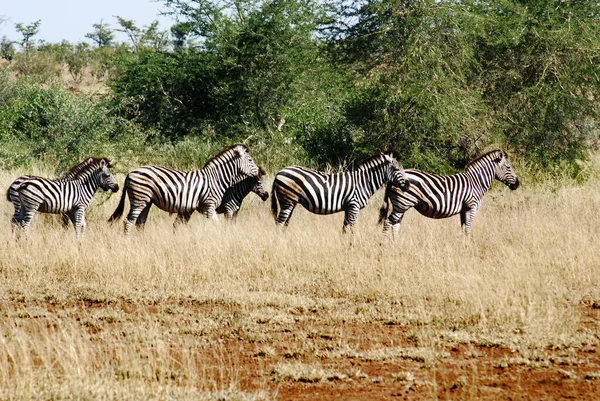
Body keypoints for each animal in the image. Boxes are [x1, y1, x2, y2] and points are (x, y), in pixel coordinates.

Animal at [108, 144, 260, 233]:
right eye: (250, 160)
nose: (259, 172)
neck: (216, 178)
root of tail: (130, 173)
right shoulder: (209, 205)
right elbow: (216, 225)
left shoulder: (200, 208)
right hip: (139, 199)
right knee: (128, 221)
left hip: (147, 201)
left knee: (140, 223)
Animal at [270, 152, 408, 231]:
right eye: (397, 169)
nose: (407, 185)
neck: (364, 182)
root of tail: (279, 172)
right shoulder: (354, 206)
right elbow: (352, 229)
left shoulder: (348, 208)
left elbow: (344, 229)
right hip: (287, 201)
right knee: (279, 223)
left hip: (291, 202)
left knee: (284, 223)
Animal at [380, 149, 520, 238]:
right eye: (508, 167)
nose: (517, 184)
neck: (476, 182)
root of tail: (392, 178)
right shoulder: (471, 207)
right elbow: (468, 229)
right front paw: (468, 247)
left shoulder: (464, 209)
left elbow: (464, 229)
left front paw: (463, 246)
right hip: (402, 204)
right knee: (388, 224)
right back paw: (385, 247)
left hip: (401, 206)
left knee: (395, 226)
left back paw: (396, 246)